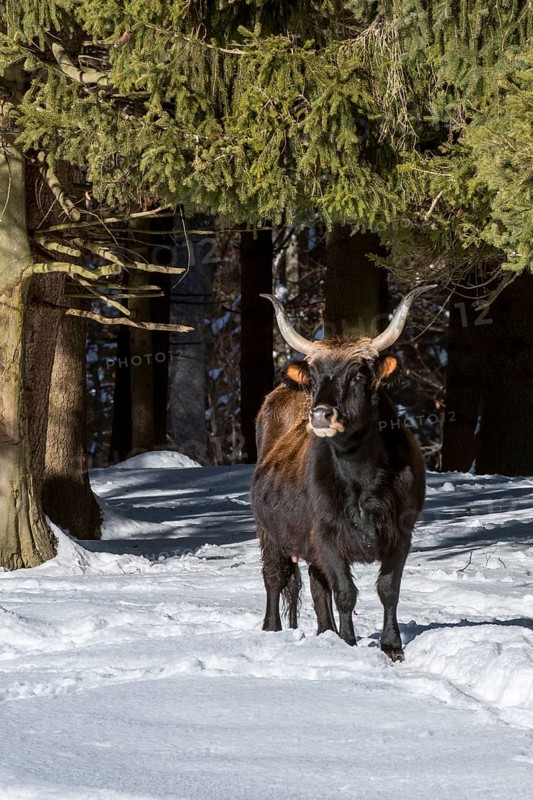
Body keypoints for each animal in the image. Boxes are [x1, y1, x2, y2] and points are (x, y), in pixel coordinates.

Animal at [251, 286, 434, 661]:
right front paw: (349, 644)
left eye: (359, 374)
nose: (320, 414)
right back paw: (273, 629)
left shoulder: (401, 534)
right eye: (315, 377)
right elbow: (345, 592)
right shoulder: (327, 534)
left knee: (316, 585)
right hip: (268, 532)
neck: (363, 478)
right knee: (275, 578)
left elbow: (387, 590)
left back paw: (326, 632)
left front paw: (391, 647)